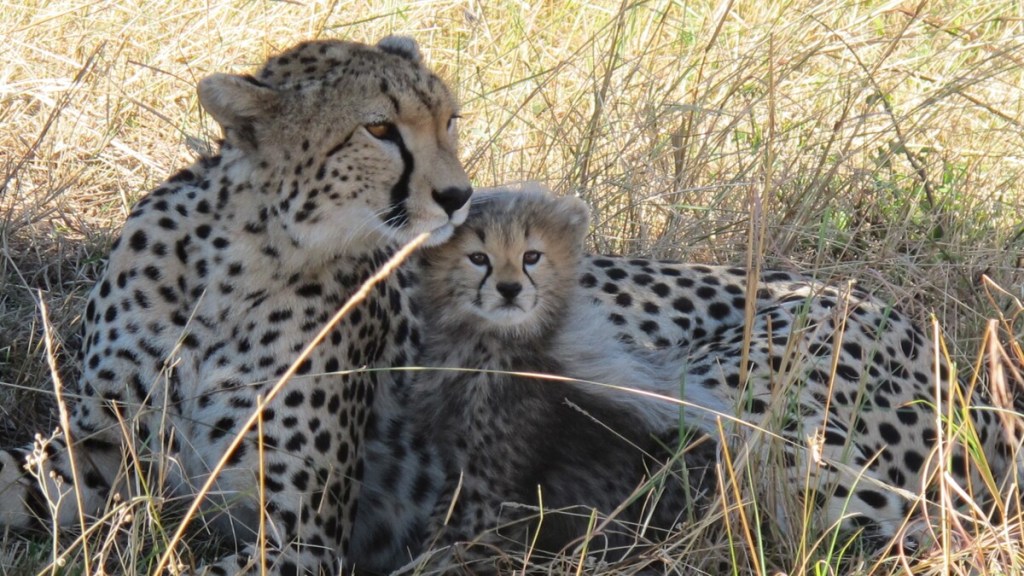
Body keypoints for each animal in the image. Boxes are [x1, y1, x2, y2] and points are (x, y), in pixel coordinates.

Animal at [0, 36, 472, 576]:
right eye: (379, 129)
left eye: (450, 120)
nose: (459, 196)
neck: (241, 262)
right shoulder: (99, 444)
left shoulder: (304, 540)